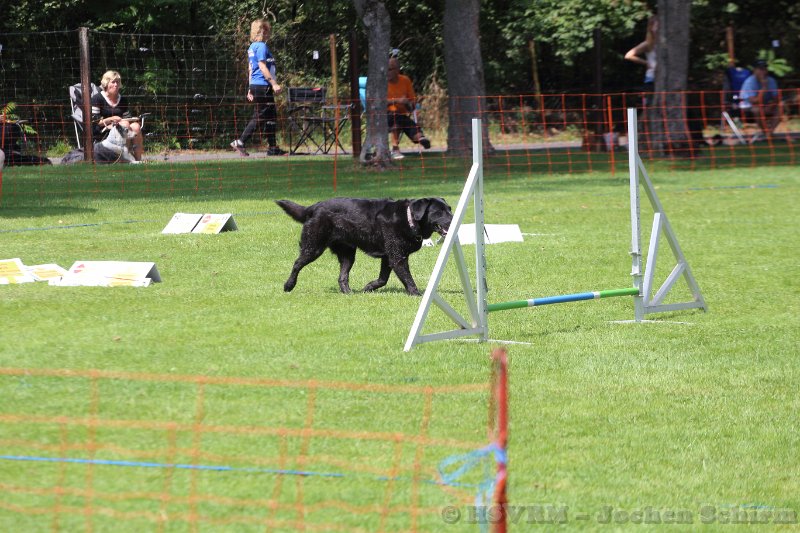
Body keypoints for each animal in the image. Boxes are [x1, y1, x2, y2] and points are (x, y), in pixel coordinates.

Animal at [277, 197, 452, 295]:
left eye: (449, 210)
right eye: (439, 212)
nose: (453, 219)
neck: (409, 219)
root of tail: (314, 207)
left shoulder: (388, 257)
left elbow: (383, 279)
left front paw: (367, 288)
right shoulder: (397, 257)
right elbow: (409, 280)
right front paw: (418, 295)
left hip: (347, 254)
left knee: (342, 277)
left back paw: (349, 293)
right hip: (313, 247)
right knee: (297, 264)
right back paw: (288, 286)